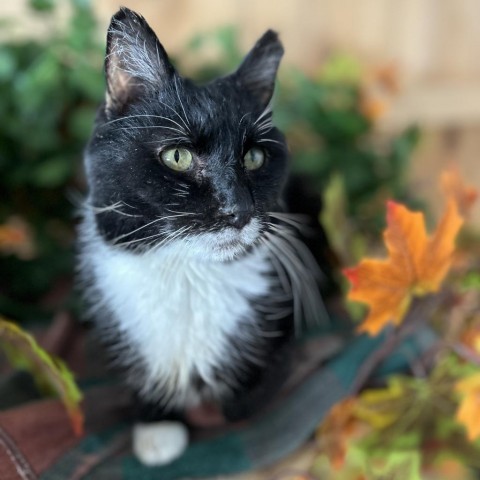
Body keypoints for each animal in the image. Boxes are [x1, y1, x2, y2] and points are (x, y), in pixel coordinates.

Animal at [78, 6, 334, 464]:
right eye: (178, 156)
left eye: (255, 157)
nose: (238, 209)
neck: (189, 275)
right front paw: (158, 429)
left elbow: (248, 395)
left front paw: (216, 403)